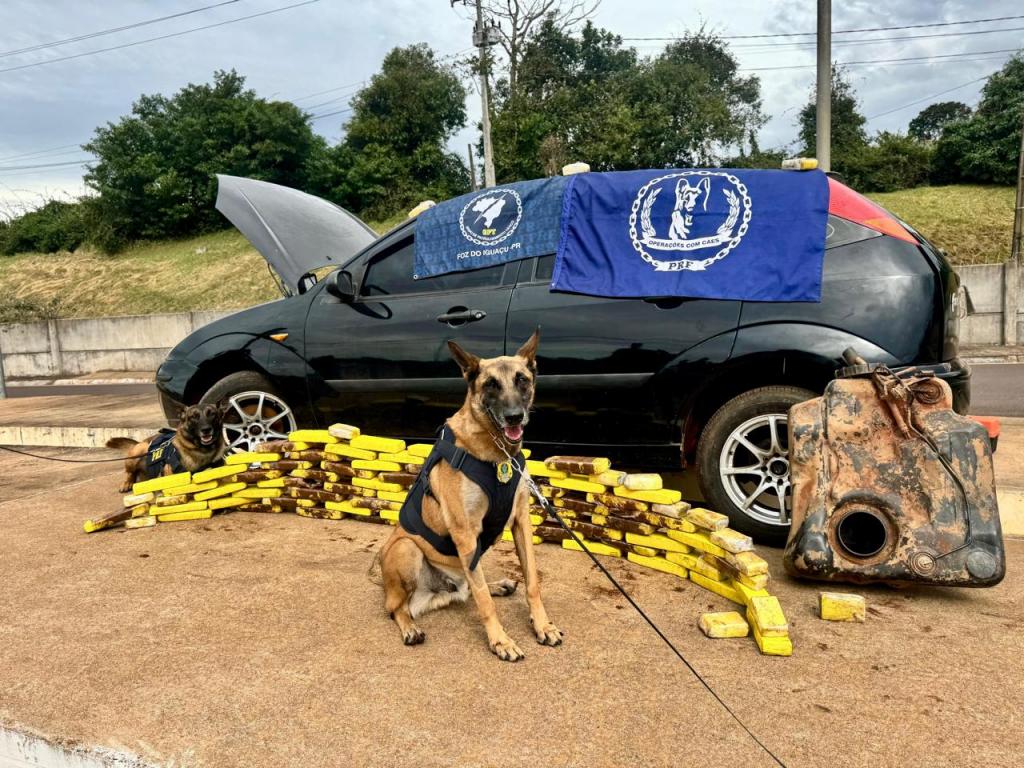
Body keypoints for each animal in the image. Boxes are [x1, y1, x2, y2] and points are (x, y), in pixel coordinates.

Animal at [378, 329, 562, 661]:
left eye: (522, 380)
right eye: (490, 385)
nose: (514, 417)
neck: (498, 455)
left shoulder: (521, 522)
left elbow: (532, 581)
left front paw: (542, 625)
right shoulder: (465, 533)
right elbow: (484, 601)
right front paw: (501, 641)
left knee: (472, 587)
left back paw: (498, 585)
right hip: (406, 549)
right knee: (397, 608)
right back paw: (409, 627)